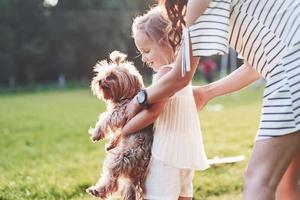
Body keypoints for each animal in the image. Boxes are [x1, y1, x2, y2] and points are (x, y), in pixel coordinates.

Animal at [86, 50, 152, 199]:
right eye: (102, 74)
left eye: (112, 76)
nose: (99, 80)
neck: (127, 95)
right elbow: (117, 134)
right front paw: (110, 144)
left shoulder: (121, 113)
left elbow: (105, 118)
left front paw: (96, 134)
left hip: (120, 158)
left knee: (111, 179)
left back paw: (97, 190)